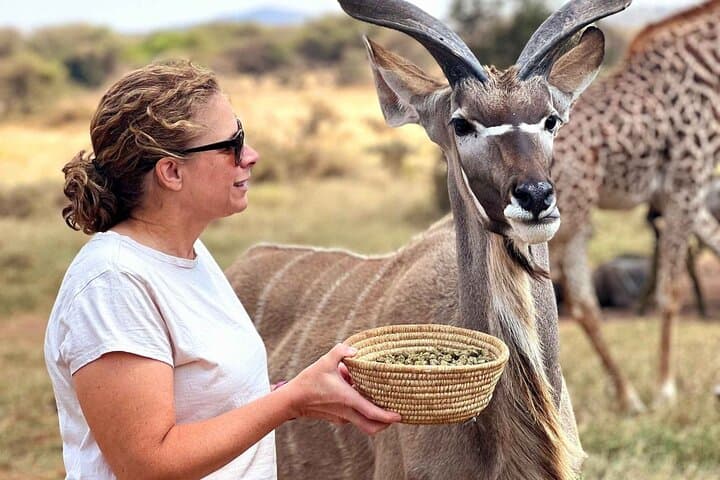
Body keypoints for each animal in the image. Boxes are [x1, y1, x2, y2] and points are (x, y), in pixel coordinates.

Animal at [550, 0, 720, 412]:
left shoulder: (688, 195)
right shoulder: (684, 186)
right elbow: (670, 292)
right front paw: (665, 390)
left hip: (575, 221)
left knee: (583, 304)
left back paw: (627, 398)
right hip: (568, 217)